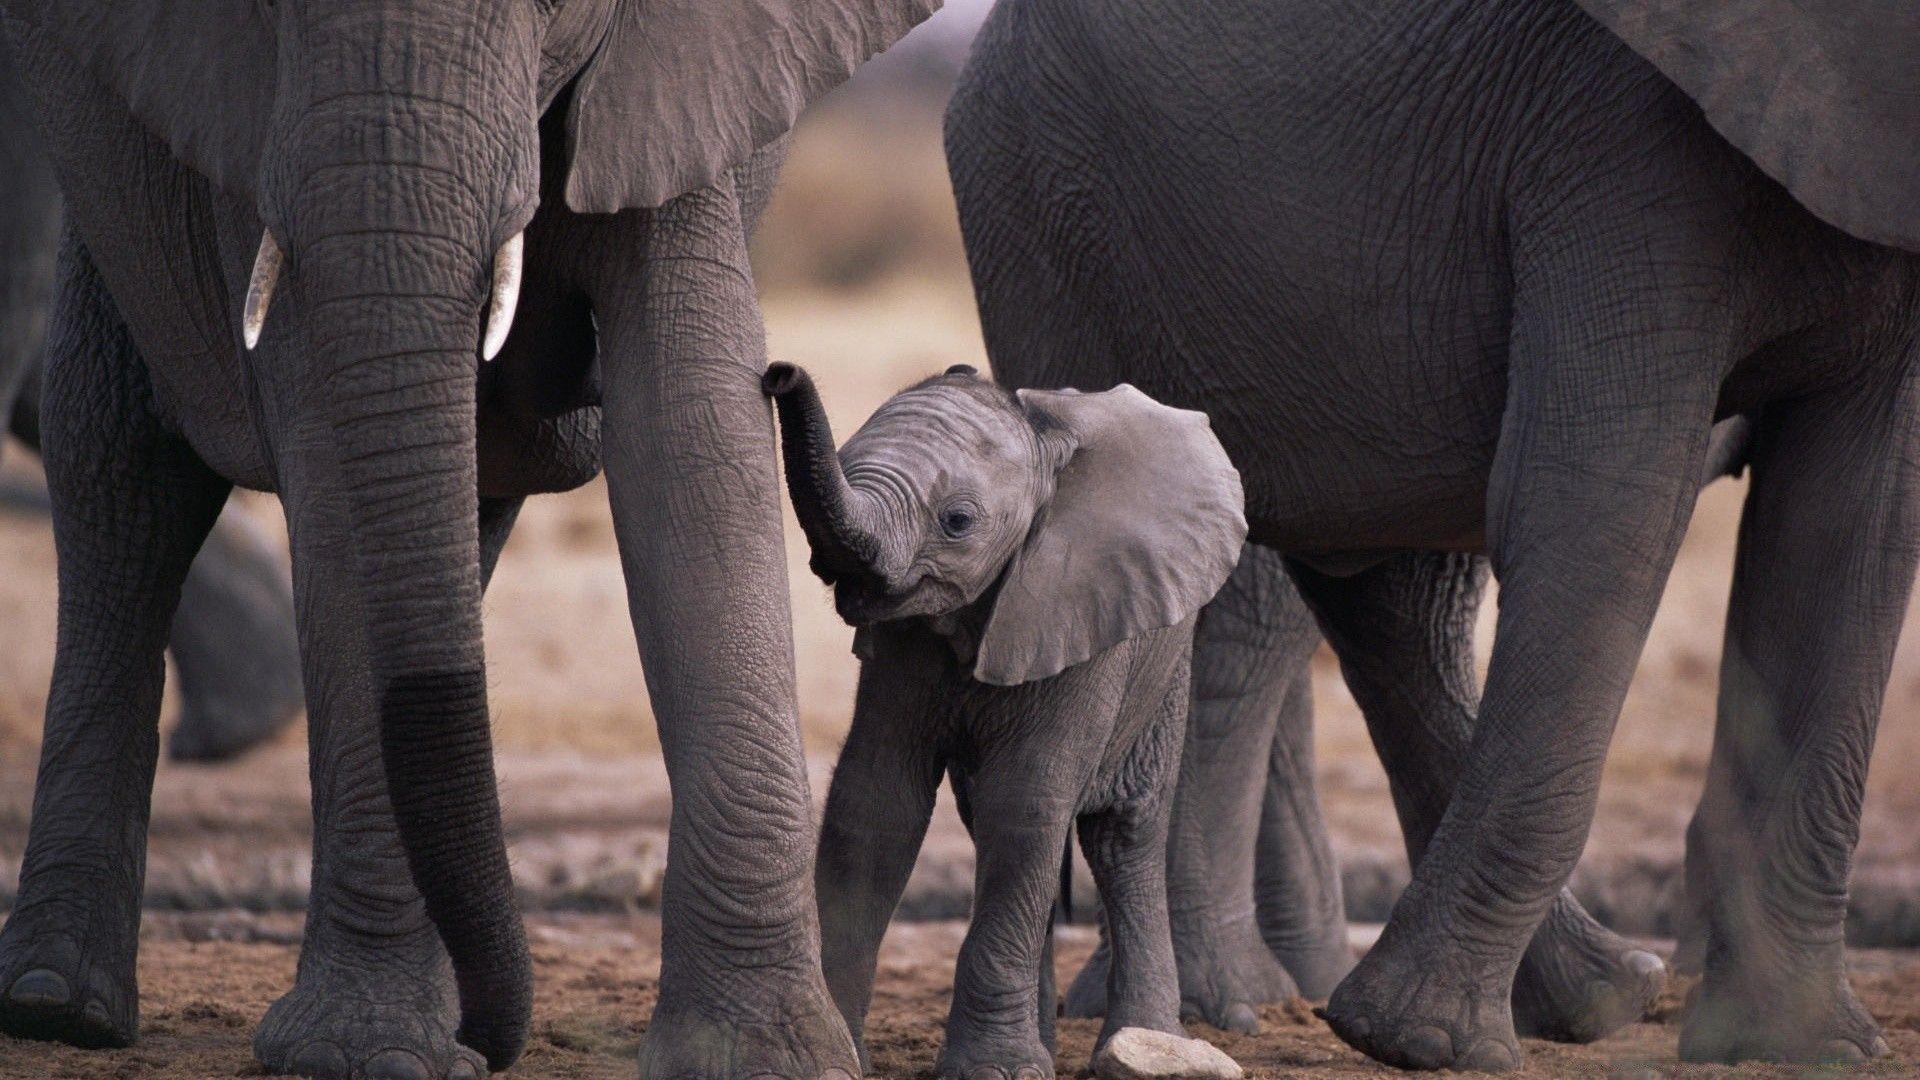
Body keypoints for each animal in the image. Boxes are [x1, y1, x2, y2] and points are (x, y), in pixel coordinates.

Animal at [763, 362, 1248, 1079]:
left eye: (958, 521)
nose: (778, 373)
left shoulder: (1079, 609)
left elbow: (1025, 803)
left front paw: (994, 1070)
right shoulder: (901, 645)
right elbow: (875, 805)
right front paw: (842, 1054)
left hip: (1165, 664)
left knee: (1122, 834)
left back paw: (1145, 1041)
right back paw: (1045, 1044)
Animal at [947, 0, 1920, 1070]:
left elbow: (1849, 537)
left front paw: (1794, 1043)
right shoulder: (1618, 144)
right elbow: (1598, 503)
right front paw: (1418, 1042)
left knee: (1383, 591)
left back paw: (1603, 994)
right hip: (1051, 212)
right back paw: (1228, 1013)